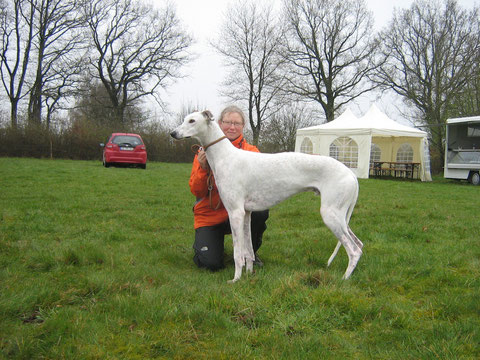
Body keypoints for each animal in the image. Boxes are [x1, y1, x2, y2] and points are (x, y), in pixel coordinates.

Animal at [171, 108, 362, 282]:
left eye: (192, 121)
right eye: (185, 119)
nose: (173, 133)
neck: (225, 156)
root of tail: (351, 174)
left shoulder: (235, 213)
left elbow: (237, 253)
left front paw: (236, 279)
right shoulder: (246, 214)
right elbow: (248, 251)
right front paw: (249, 274)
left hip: (331, 214)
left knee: (354, 250)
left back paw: (344, 278)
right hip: (340, 216)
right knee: (359, 244)